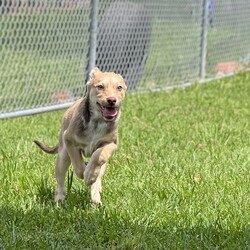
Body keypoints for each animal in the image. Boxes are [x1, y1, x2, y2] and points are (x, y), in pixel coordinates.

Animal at [33, 67, 127, 204]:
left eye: (119, 87)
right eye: (100, 86)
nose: (111, 100)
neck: (97, 122)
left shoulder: (111, 143)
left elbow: (99, 157)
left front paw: (90, 175)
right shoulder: (69, 140)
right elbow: (78, 165)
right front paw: (85, 173)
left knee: (98, 174)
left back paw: (95, 196)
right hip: (63, 155)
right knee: (60, 178)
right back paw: (59, 199)